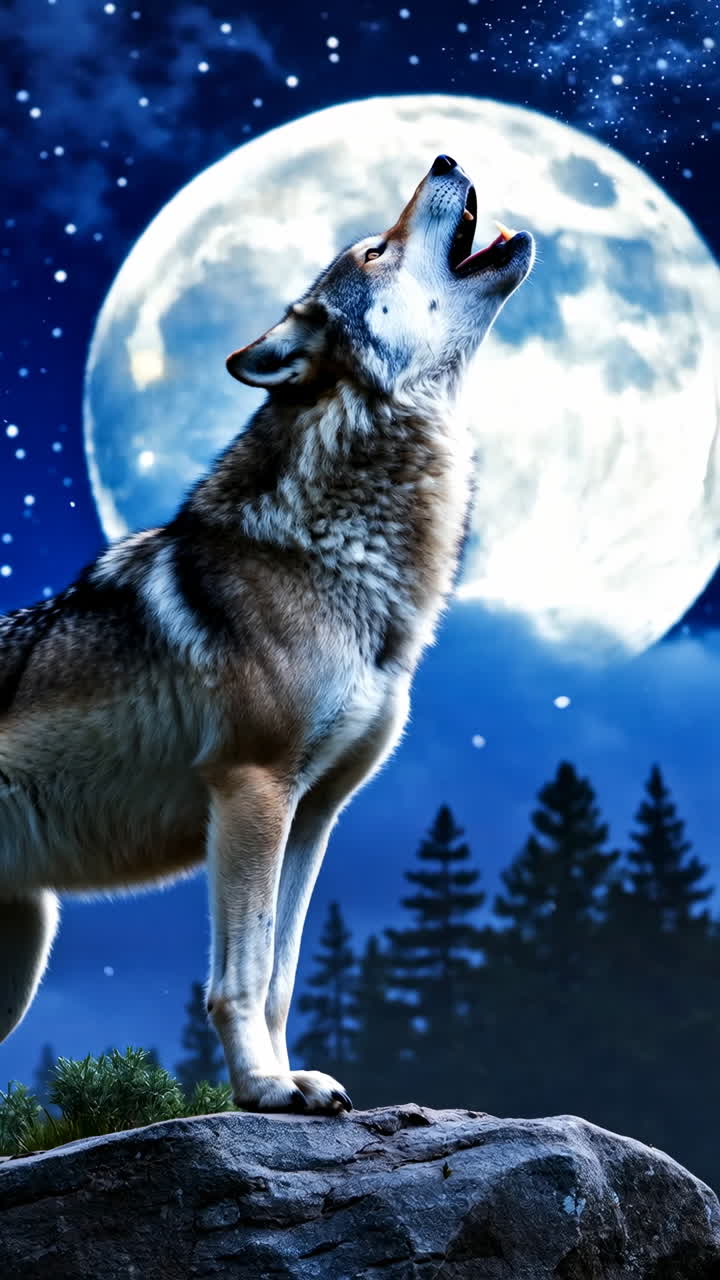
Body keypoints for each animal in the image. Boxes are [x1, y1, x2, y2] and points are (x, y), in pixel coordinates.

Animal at [0, 155, 534, 1114]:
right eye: (373, 250)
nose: (443, 158)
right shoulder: (251, 789)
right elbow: (239, 977)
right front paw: (263, 1089)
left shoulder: (313, 812)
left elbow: (283, 975)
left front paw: (293, 1076)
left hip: (26, 945)